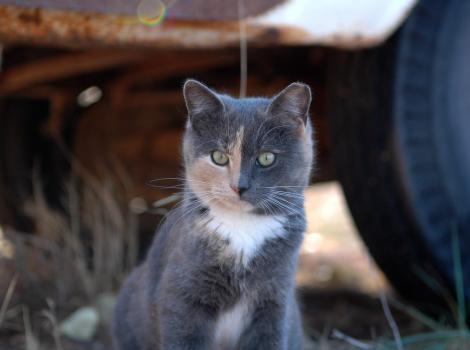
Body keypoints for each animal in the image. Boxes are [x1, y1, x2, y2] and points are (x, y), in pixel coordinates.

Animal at [112, 80, 314, 350]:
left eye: (266, 158)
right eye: (218, 157)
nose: (239, 186)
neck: (242, 227)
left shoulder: (274, 299)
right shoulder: (182, 297)